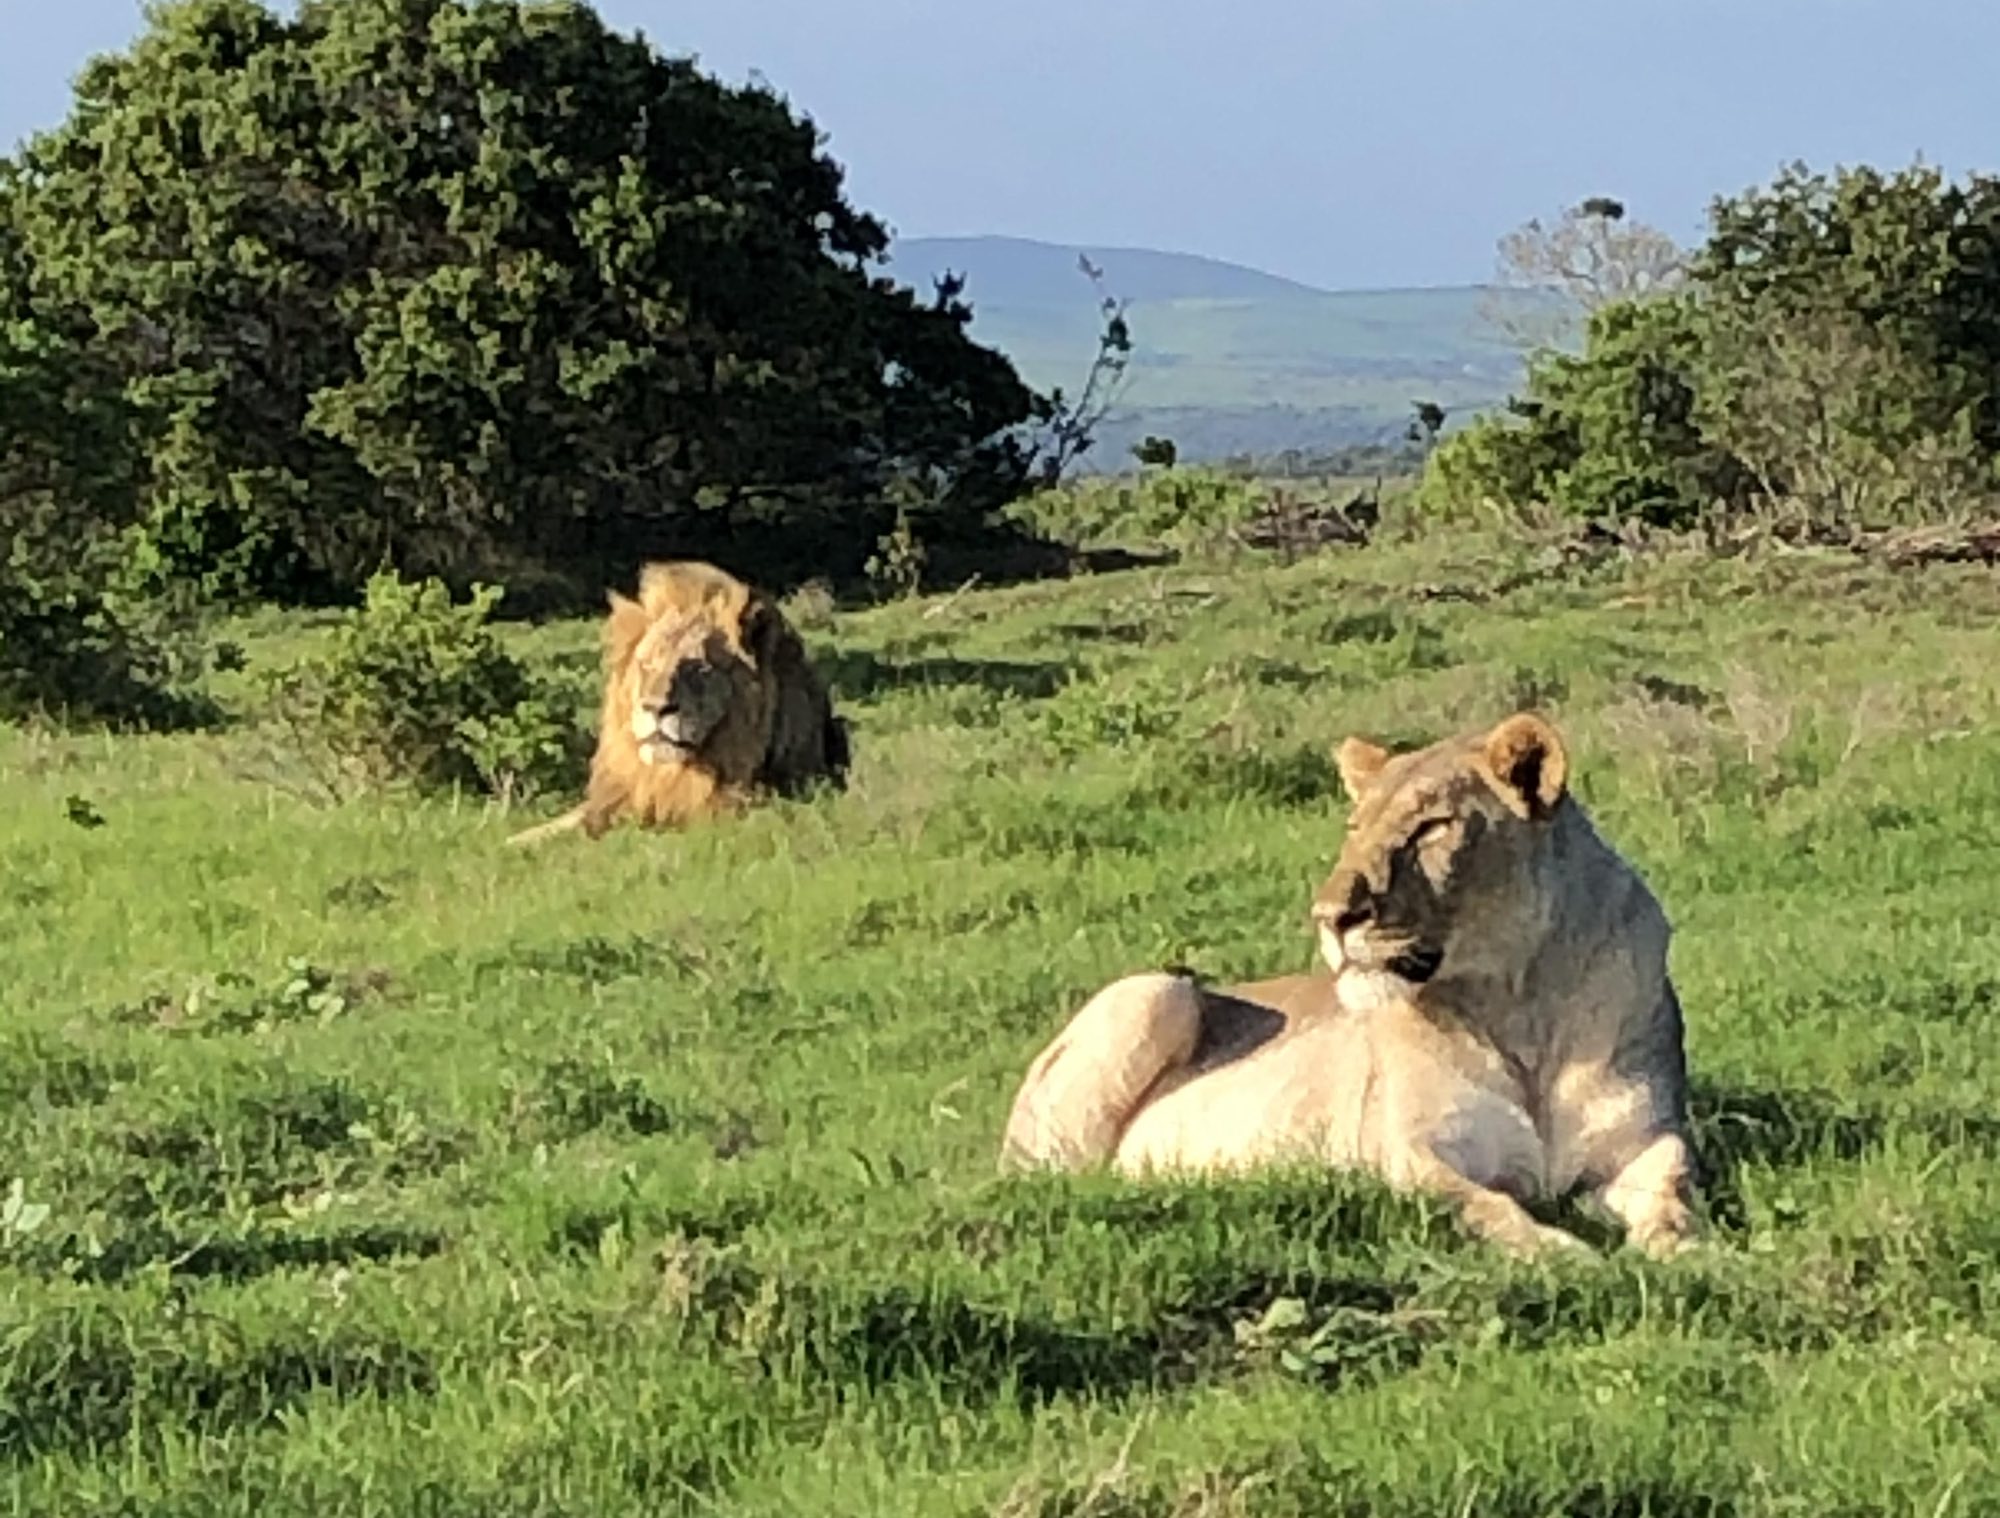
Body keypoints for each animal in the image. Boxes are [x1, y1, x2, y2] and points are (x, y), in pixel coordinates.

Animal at [504, 560, 848, 848]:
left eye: (700, 668)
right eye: (647, 666)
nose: (655, 708)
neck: (667, 776)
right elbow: (547, 830)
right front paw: (507, 845)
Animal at [1000, 712, 1704, 1256]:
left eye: (1431, 828)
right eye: (1355, 828)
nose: (1329, 917)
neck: (1520, 1003)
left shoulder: (1645, 1141)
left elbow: (1675, 1194)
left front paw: (1686, 1253)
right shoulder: (1412, 1154)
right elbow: (1485, 1207)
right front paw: (1560, 1254)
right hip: (1155, 991)